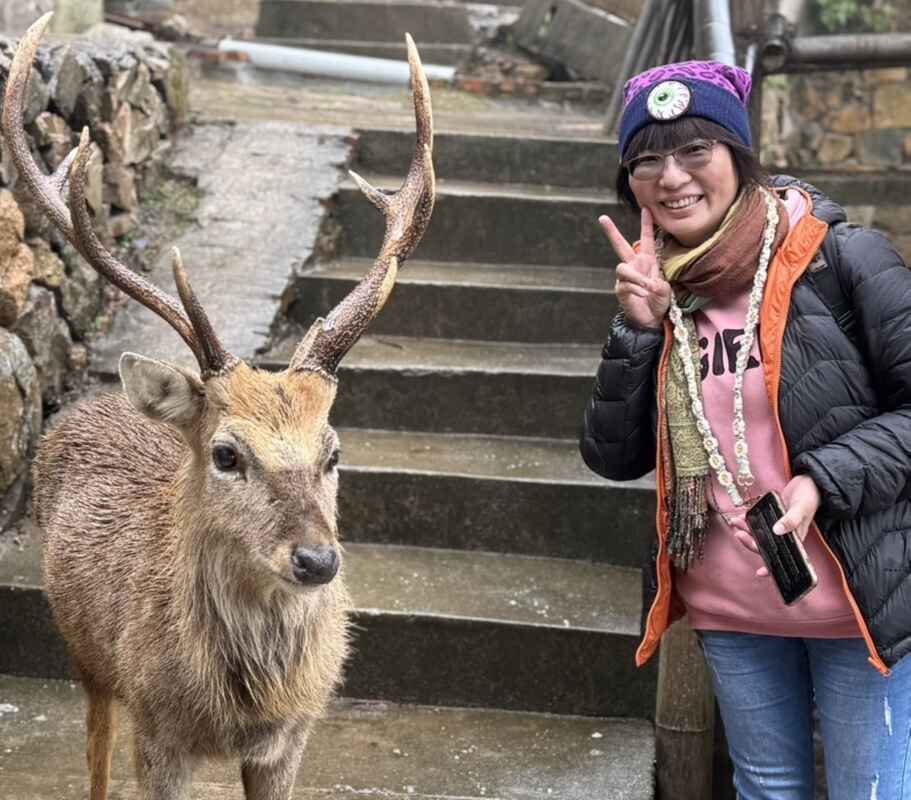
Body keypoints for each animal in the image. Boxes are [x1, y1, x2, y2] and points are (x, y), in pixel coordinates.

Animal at [2, 12, 434, 800]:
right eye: (227, 454)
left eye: (334, 451)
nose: (317, 559)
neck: (237, 703)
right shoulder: (157, 734)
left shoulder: (291, 738)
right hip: (83, 650)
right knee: (94, 749)